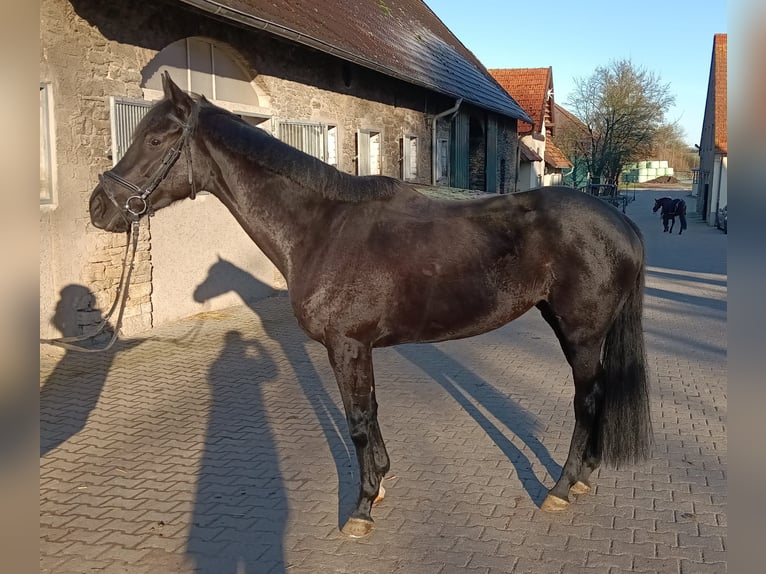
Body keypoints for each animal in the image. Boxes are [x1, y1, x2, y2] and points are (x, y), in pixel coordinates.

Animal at [90, 73, 656, 540]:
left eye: (156, 140)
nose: (100, 208)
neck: (321, 228)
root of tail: (622, 225)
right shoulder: (359, 348)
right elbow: (371, 414)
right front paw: (379, 485)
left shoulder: (346, 346)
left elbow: (358, 422)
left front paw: (360, 510)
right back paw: (583, 478)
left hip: (580, 332)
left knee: (587, 400)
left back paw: (559, 488)